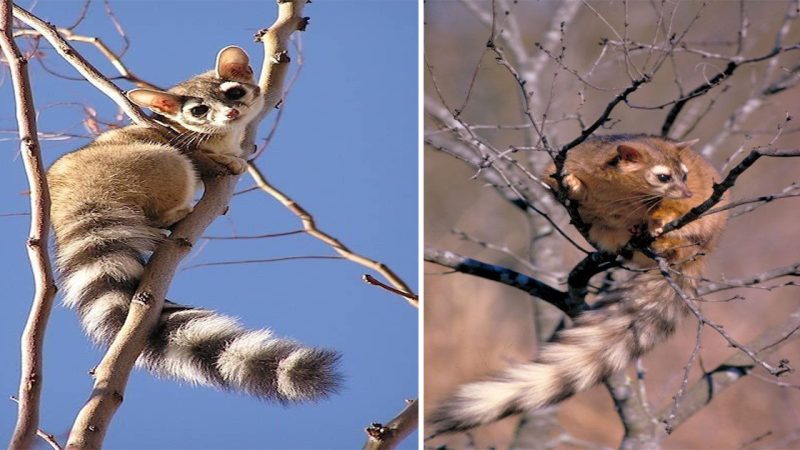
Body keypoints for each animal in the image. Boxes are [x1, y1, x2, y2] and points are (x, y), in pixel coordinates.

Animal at [47, 47, 340, 402]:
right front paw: (228, 160)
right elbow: (206, 153)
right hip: (138, 164)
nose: (232, 112)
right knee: (173, 163)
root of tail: (70, 196)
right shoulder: (185, 140)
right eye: (199, 111)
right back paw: (173, 213)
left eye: (234, 92)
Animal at [428, 134, 728, 436]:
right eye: (663, 177)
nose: (687, 192)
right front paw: (573, 184)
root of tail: (706, 250)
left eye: (684, 174)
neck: (625, 190)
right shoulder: (580, 158)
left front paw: (660, 219)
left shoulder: (691, 199)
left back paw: (665, 242)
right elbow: (555, 176)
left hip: (705, 227)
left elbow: (674, 209)